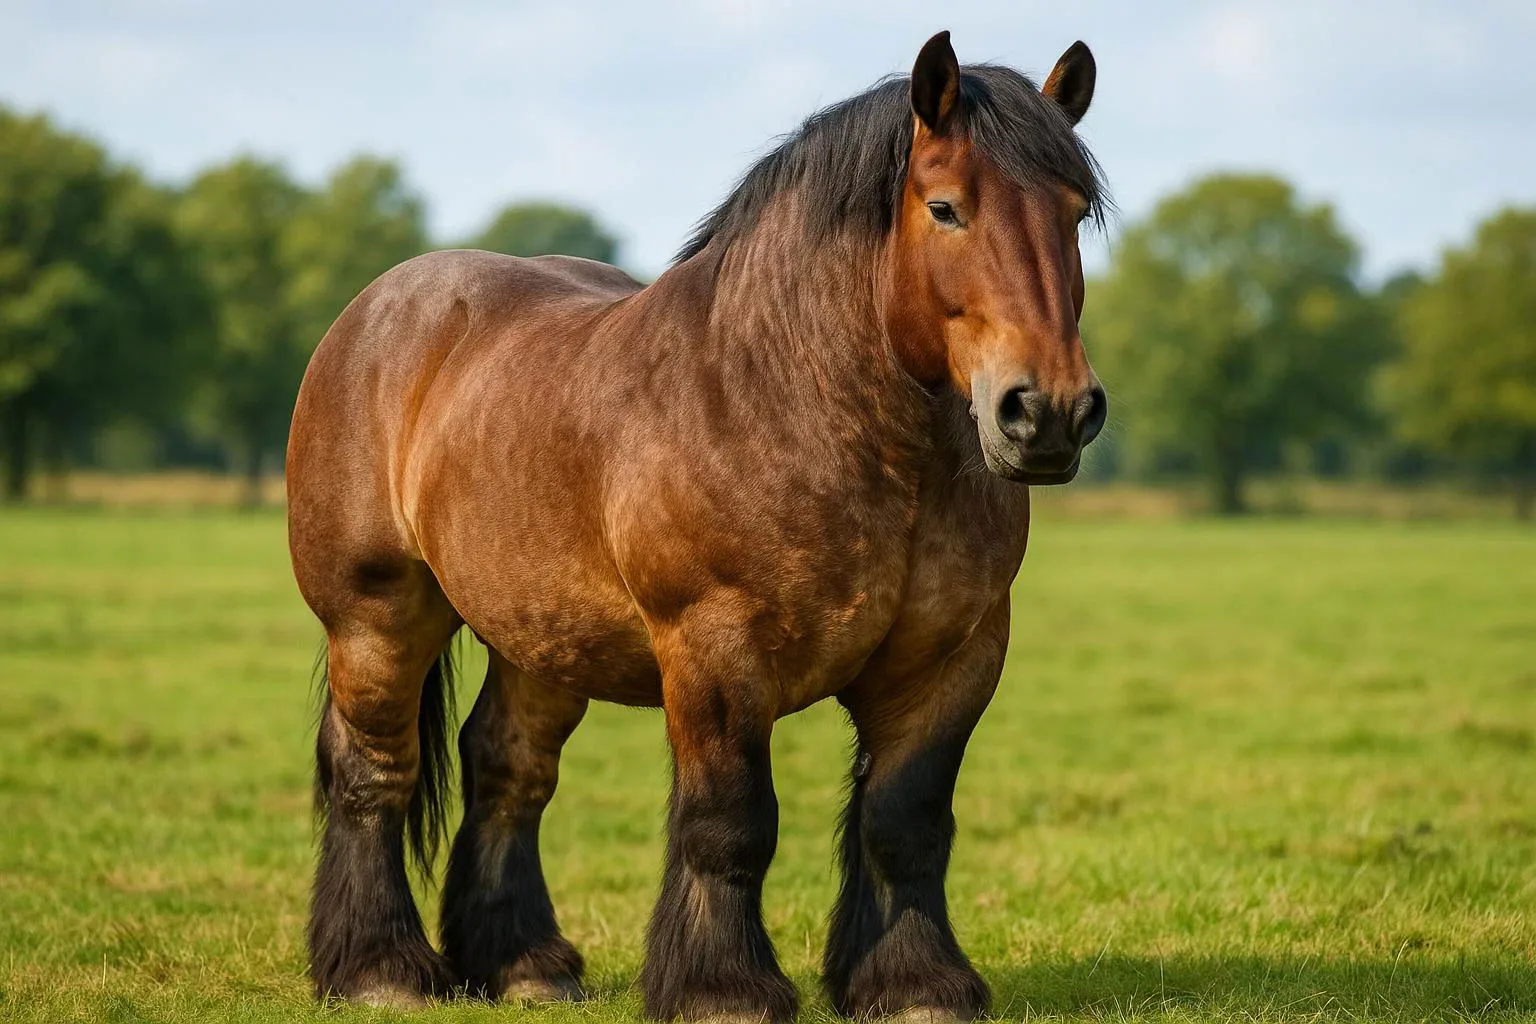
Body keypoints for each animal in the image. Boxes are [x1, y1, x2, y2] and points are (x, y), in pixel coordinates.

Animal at [287, 30, 1107, 1023]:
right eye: (945, 207)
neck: (791, 399)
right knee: (376, 768)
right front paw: (724, 988)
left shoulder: (952, 659)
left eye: (1074, 214)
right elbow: (729, 824)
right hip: (376, 616)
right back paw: (380, 969)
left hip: (542, 638)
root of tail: (377, 313)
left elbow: (904, 823)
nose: (1049, 411)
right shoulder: (716, 652)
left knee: (508, 769)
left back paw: (524, 964)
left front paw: (915, 985)